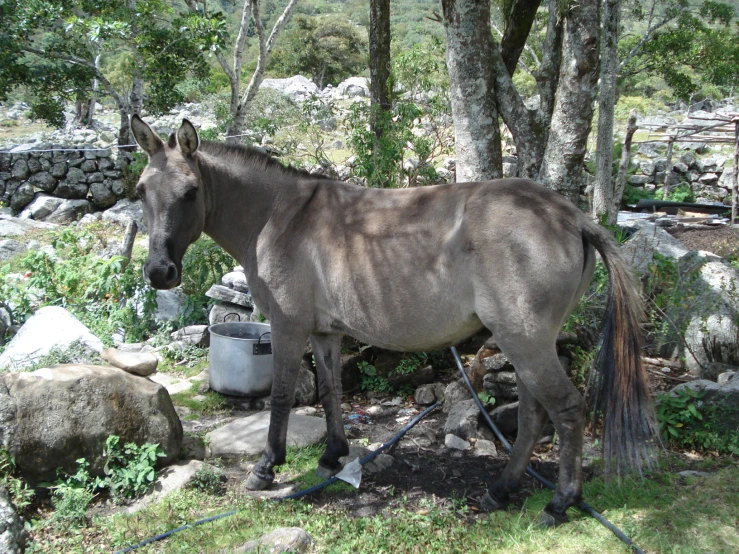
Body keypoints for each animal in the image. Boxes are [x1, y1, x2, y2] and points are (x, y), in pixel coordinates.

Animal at [130, 115, 656, 520]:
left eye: (190, 191)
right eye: (140, 191)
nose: (159, 271)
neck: (279, 216)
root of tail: (571, 216)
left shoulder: (288, 326)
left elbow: (280, 395)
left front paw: (266, 467)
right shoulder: (324, 332)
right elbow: (331, 391)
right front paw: (332, 456)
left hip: (525, 341)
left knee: (564, 410)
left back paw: (560, 502)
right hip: (524, 343)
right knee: (532, 414)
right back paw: (502, 490)